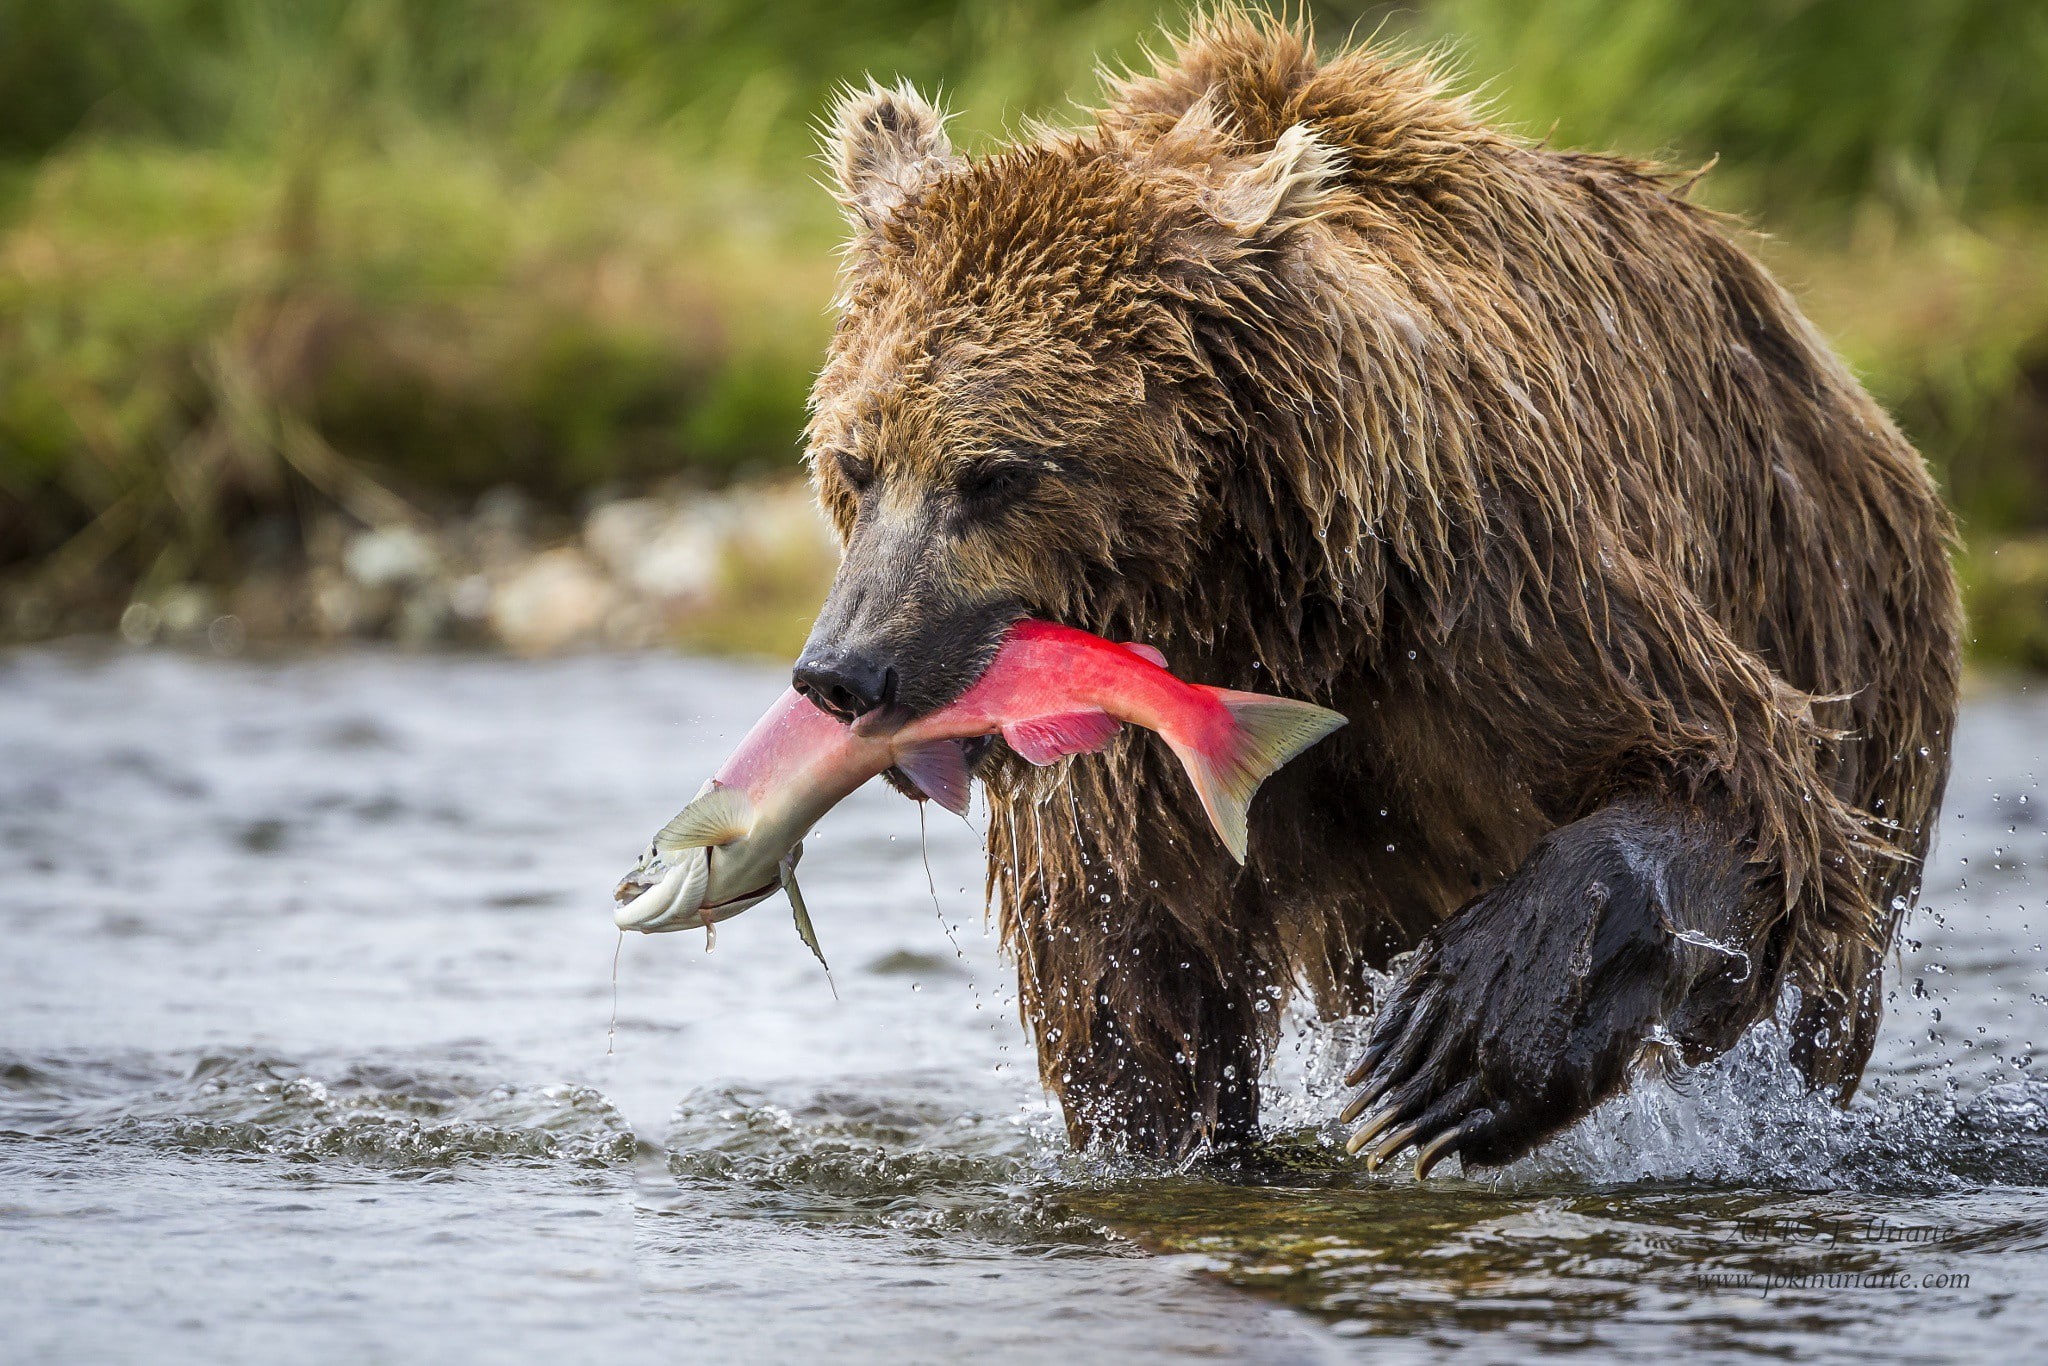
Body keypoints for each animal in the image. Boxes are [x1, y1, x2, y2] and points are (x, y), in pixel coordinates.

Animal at [790, 8, 1961, 1171]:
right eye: (856, 462)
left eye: (994, 473)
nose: (848, 672)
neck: (1250, 594)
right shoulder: (1128, 777)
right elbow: (1137, 1000)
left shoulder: (1492, 592)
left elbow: (1741, 785)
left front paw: (1456, 1049)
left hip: (1845, 619)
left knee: (1824, 986)